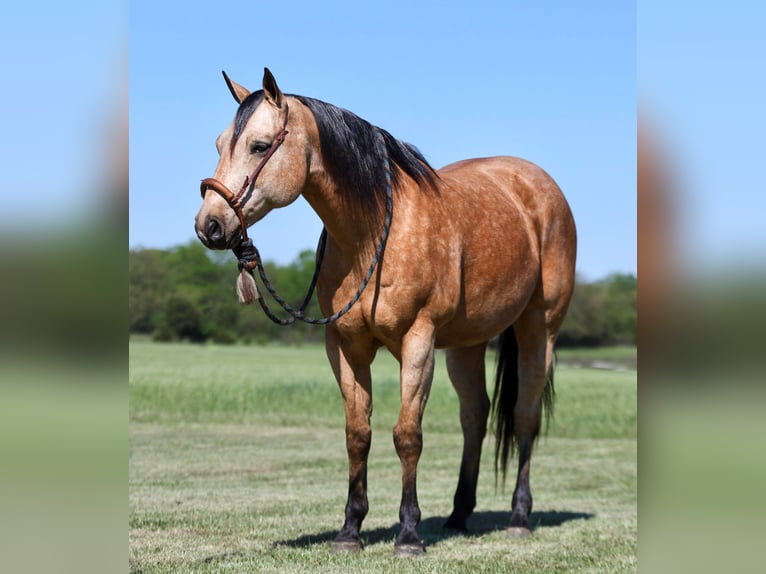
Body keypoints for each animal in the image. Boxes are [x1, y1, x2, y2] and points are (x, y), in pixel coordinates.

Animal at [195, 67, 580, 560]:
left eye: (260, 146)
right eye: (220, 143)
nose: (209, 225)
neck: (373, 233)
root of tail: (538, 185)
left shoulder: (418, 341)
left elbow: (407, 435)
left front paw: (409, 534)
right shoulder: (345, 346)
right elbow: (358, 433)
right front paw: (349, 531)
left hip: (538, 328)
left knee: (525, 415)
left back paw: (518, 518)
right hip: (468, 344)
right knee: (475, 416)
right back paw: (458, 515)